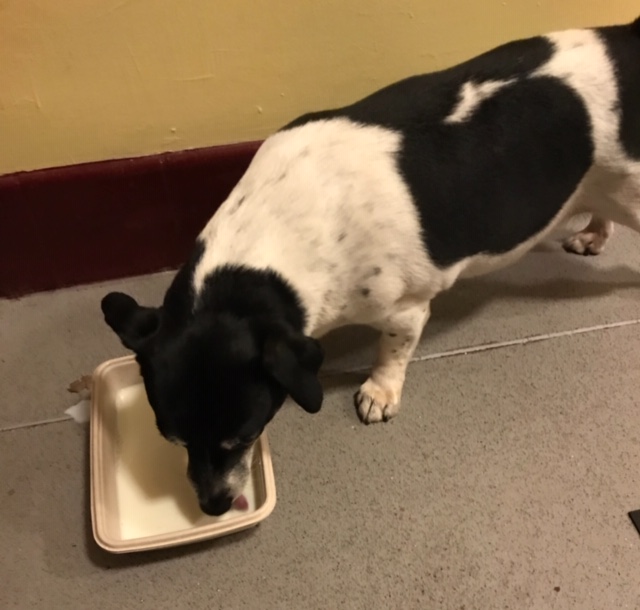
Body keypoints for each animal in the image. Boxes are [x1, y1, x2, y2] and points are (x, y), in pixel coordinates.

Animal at [102, 18, 640, 516]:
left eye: (246, 434)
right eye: (171, 438)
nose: (212, 506)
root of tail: (625, 36)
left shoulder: (405, 311)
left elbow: (392, 353)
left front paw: (381, 391)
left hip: (631, 190)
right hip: (604, 187)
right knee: (601, 210)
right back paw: (593, 234)